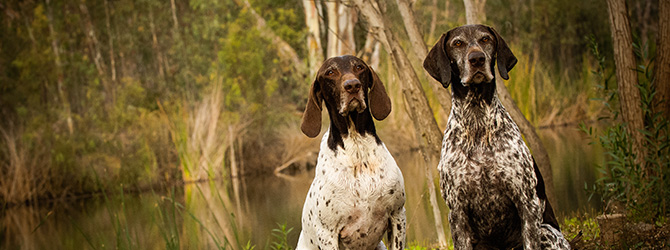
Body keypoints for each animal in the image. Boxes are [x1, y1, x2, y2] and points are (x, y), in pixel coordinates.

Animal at [426, 24, 572, 249]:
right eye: (457, 43)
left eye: (486, 39)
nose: (477, 59)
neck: (477, 124)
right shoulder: (457, 212)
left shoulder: (526, 203)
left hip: (546, 232)